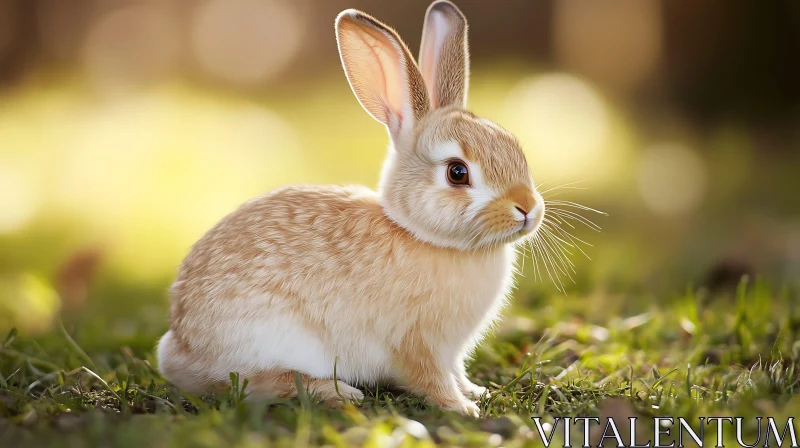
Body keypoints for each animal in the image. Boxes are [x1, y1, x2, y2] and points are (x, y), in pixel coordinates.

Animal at [156, 0, 544, 416]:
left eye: (514, 147)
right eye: (458, 172)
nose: (527, 208)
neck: (421, 236)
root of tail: (179, 348)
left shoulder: (449, 352)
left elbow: (457, 372)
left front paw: (477, 392)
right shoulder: (417, 343)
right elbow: (431, 379)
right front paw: (462, 408)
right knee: (254, 384)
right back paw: (338, 392)